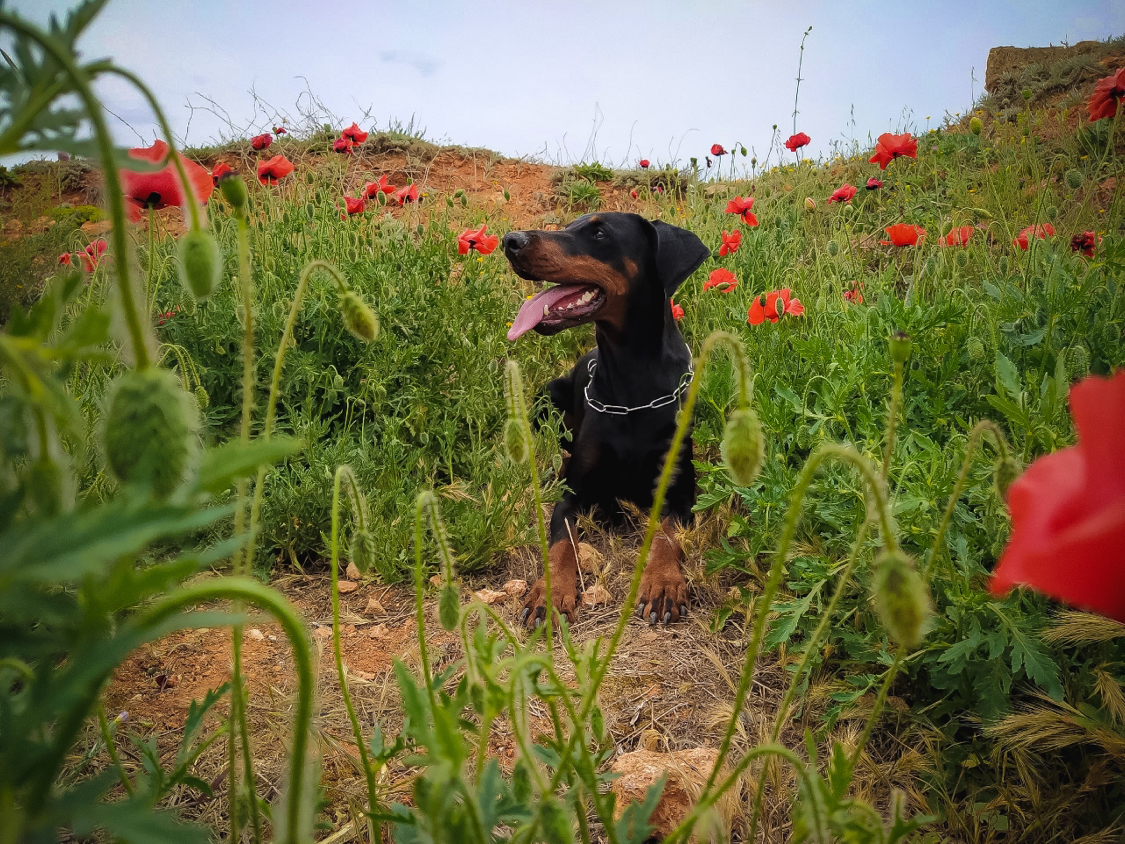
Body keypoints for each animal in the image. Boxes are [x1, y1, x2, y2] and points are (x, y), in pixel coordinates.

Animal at [504, 212, 706, 630]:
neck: (632, 391)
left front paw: (662, 583)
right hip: (548, 395)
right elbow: (561, 542)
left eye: (599, 232)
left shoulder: (679, 491)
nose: (510, 241)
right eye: (570, 225)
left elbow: (666, 534)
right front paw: (550, 593)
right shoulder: (573, 493)